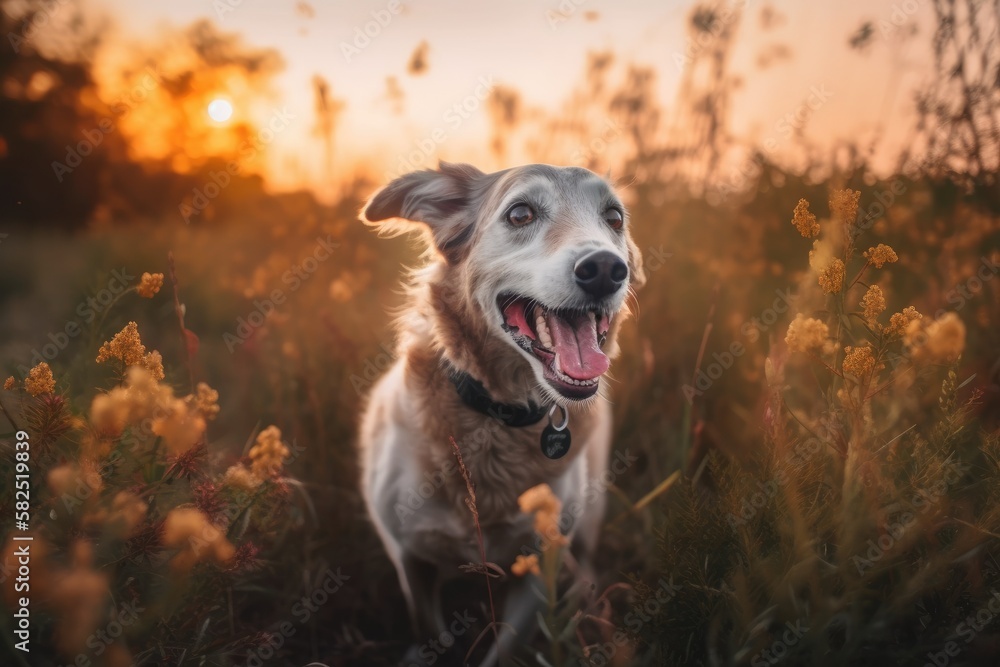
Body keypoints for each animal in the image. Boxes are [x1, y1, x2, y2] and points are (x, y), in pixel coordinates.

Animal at [360, 160, 648, 664]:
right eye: (520, 214)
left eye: (614, 218)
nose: (605, 269)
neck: (499, 416)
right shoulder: (408, 556)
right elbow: (427, 630)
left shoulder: (538, 568)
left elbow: (506, 647)